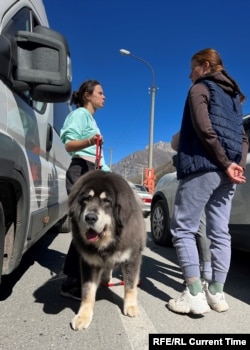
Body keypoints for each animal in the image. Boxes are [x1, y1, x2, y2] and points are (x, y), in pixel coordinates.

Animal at [68, 171, 146, 330]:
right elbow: (88, 291)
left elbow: (130, 285)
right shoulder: (89, 262)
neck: (107, 242)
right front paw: (83, 316)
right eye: (86, 199)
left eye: (106, 201)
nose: (90, 217)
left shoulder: (132, 258)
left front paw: (131, 306)